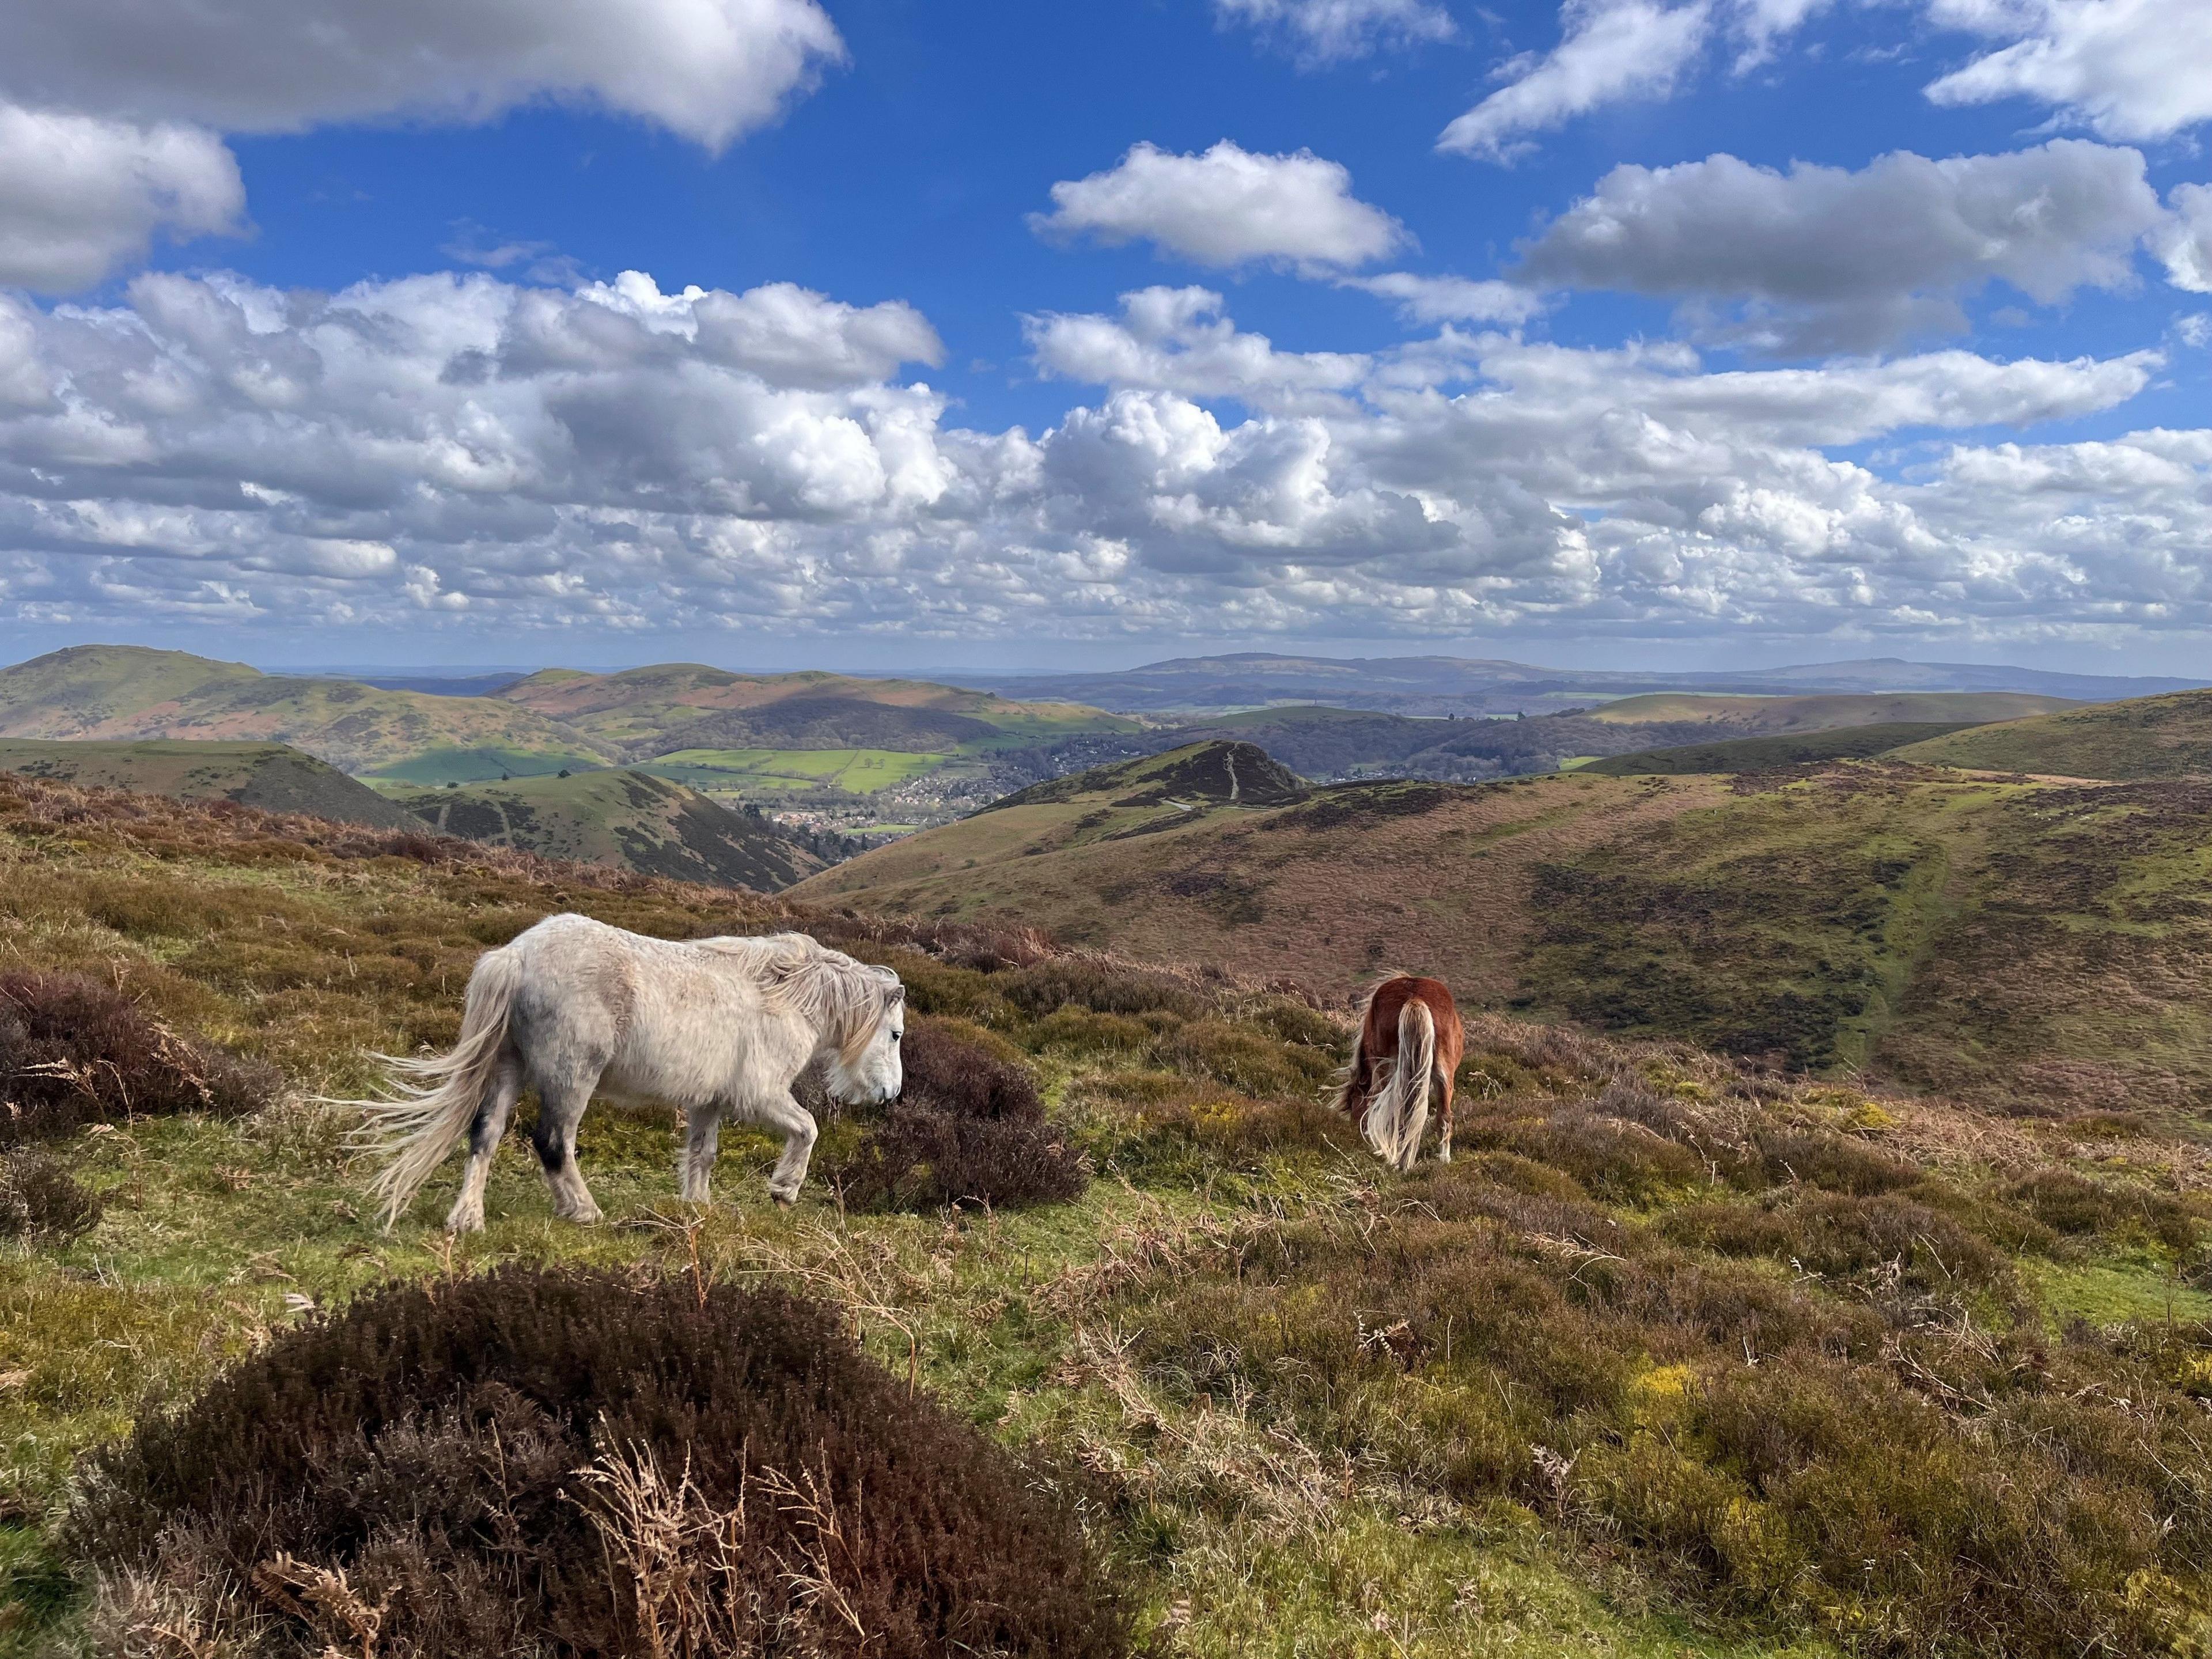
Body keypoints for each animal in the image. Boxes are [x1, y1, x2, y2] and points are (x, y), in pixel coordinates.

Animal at [345, 925, 898, 1238]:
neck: (787, 993)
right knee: (553, 1141)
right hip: (572, 1076)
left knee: (486, 1133)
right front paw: (785, 1189)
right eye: (895, 1034)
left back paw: (468, 1220)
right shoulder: (760, 1095)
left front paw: (698, 1208)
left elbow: (702, 1155)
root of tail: (516, 957)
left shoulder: (710, 1103)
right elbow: (807, 1128)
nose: (890, 1095)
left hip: (508, 1067)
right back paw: (583, 1211)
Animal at [1327, 982, 1451, 1176]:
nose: (1353, 1129)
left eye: (1354, 1101)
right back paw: (1439, 1158)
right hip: (1442, 1076)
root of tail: (1416, 999)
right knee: (1443, 1117)